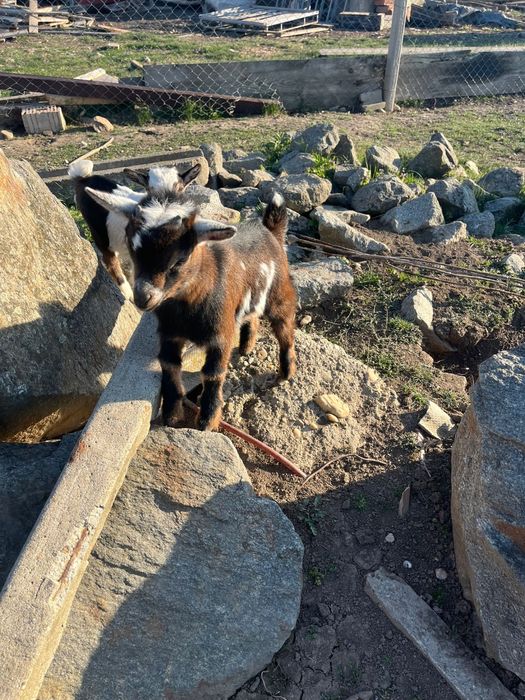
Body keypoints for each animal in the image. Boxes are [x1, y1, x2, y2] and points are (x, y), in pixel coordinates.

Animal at [68, 159, 201, 299]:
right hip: (98, 231)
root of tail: (82, 178)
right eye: (149, 189)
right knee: (109, 259)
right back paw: (127, 292)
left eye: (180, 188)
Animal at [84, 185, 297, 431]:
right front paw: (171, 415)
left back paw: (286, 372)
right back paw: (246, 346)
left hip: (280, 294)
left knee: (284, 327)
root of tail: (270, 231)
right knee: (251, 315)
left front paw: (207, 421)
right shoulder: (169, 333)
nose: (143, 298)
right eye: (132, 248)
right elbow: (169, 365)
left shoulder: (220, 334)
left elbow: (213, 374)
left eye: (180, 259)